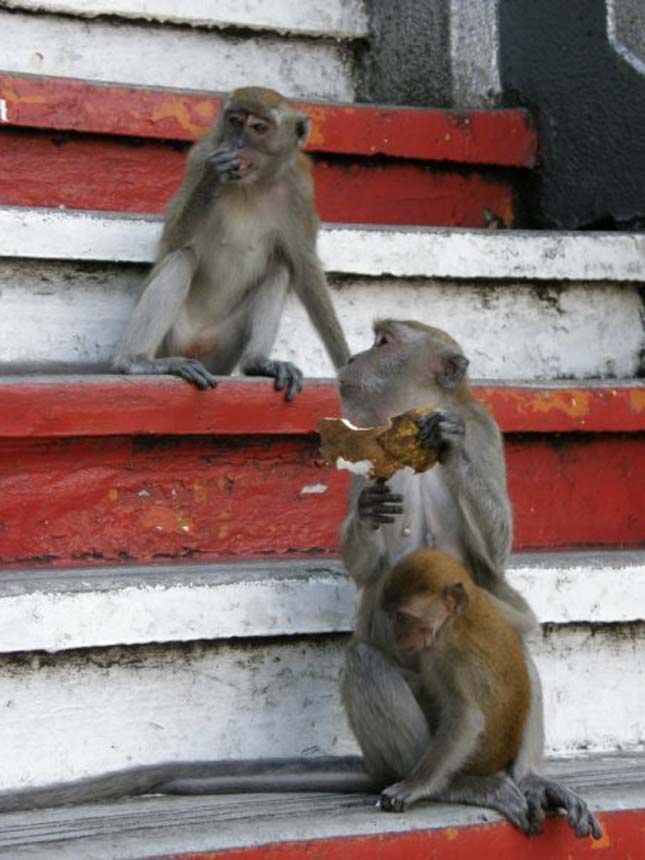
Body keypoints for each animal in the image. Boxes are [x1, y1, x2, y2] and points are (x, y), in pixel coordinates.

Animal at [113, 85, 350, 402]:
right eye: (236, 121)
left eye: (259, 127)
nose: (236, 143)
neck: (252, 182)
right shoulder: (200, 157)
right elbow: (172, 240)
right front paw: (213, 175)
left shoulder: (300, 190)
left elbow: (305, 271)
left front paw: (350, 364)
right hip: (174, 339)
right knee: (182, 258)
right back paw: (136, 362)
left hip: (222, 350)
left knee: (279, 269)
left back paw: (257, 363)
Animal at [378, 548, 528, 816]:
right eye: (393, 617)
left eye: (401, 617)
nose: (397, 636)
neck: (458, 618)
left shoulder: (452, 659)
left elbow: (466, 718)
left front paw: (415, 785)